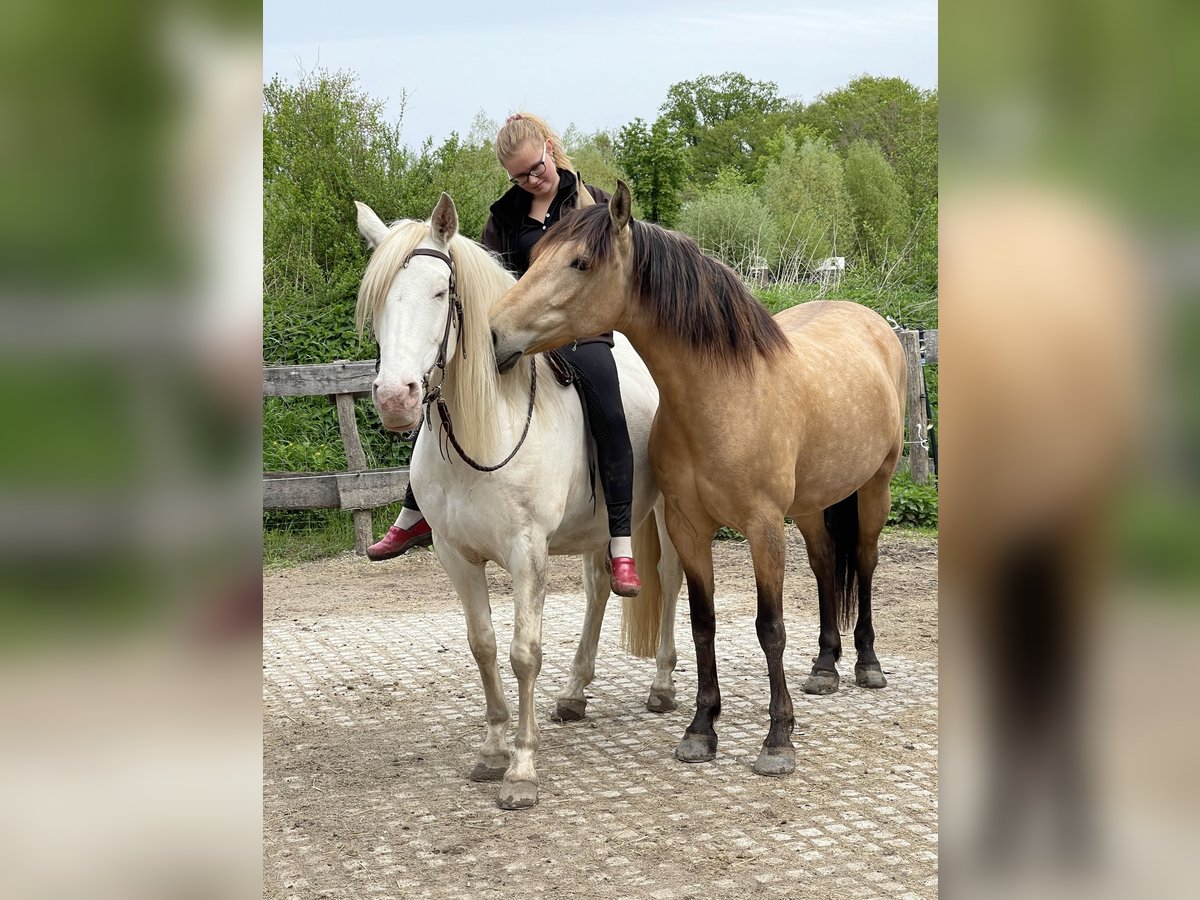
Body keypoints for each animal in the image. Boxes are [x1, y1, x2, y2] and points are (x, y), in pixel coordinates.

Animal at [350, 192, 681, 811]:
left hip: (669, 513)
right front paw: (492, 751)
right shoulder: (456, 555)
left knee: (671, 581)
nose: (395, 398)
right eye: (379, 299)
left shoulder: (527, 552)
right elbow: (482, 647)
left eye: (440, 292)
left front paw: (522, 770)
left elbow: (524, 651)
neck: (487, 429)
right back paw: (575, 693)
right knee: (601, 586)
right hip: (597, 529)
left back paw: (664, 684)